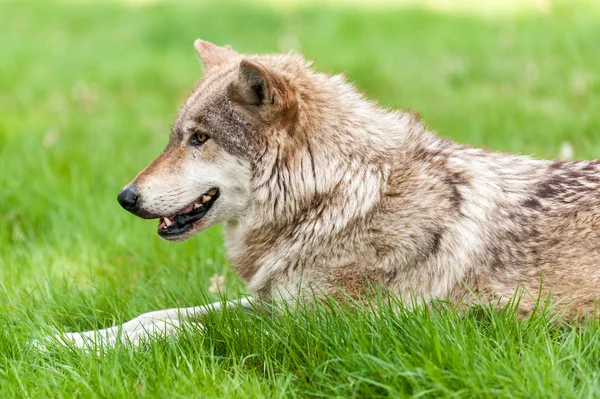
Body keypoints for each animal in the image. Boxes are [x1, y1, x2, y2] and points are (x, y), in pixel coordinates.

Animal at [47, 41, 600, 350]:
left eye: (199, 138)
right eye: (176, 137)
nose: (125, 197)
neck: (336, 197)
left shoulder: (312, 324)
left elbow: (178, 328)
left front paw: (73, 349)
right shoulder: (277, 300)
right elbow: (155, 316)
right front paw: (65, 339)